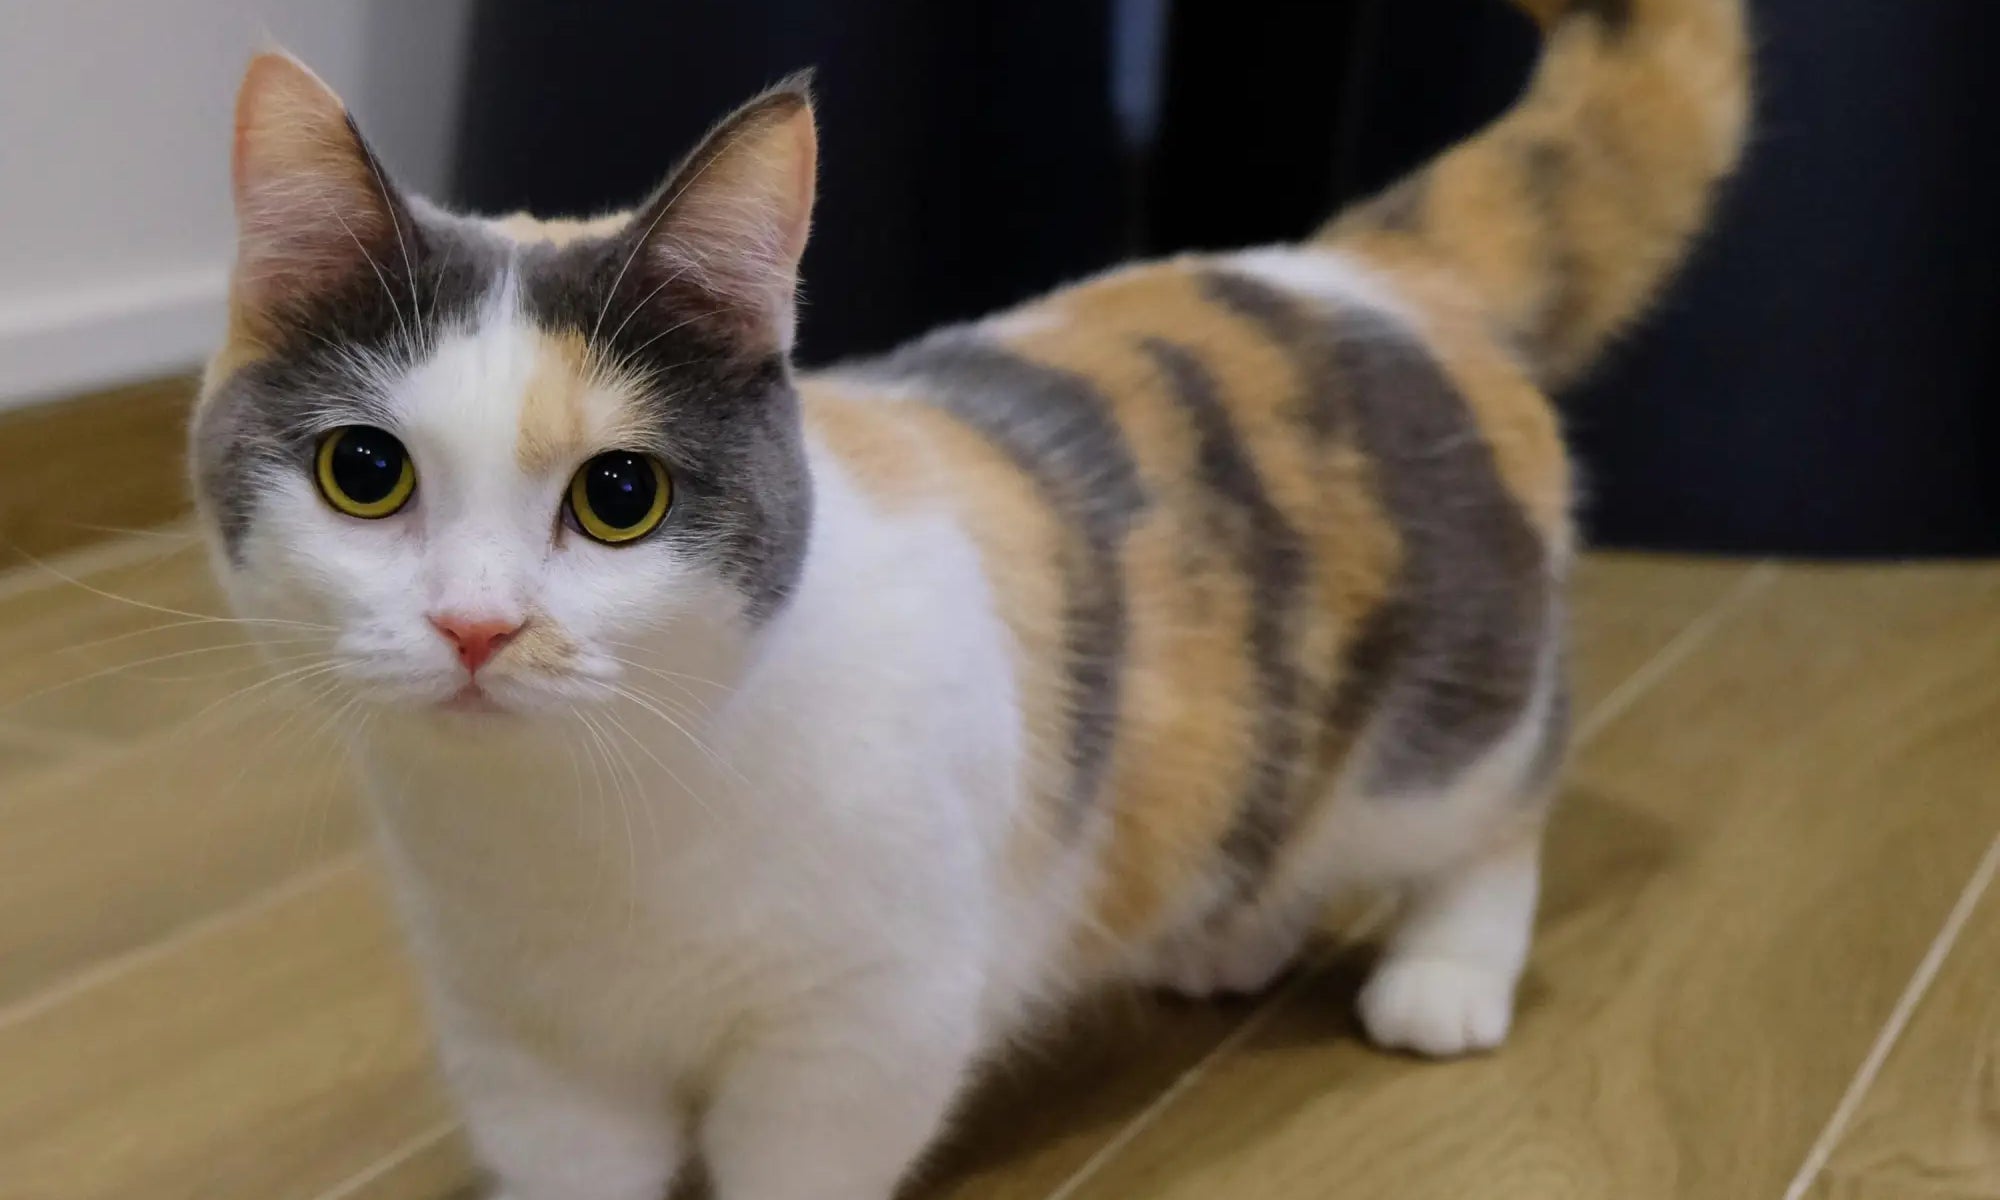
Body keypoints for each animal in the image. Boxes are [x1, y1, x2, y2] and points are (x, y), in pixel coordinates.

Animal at [191, 4, 1752, 1192]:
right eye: (366, 473)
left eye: (619, 495)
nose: (476, 625)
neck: (577, 832)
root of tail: (1358, 268)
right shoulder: (530, 1055)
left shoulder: (857, 1035)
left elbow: (799, 1159)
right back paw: (1228, 936)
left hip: (1453, 725)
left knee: (1502, 808)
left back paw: (1446, 975)